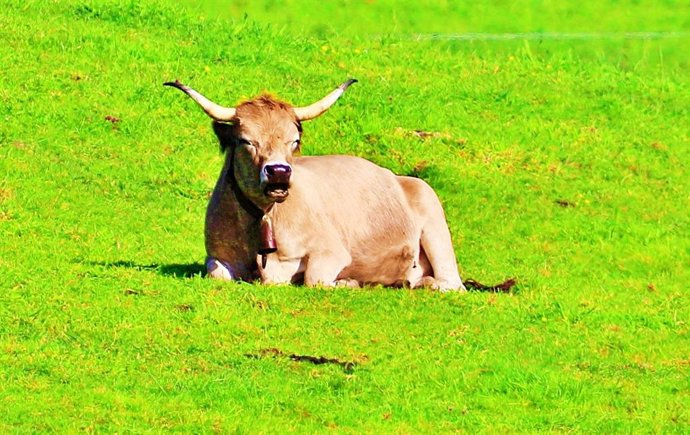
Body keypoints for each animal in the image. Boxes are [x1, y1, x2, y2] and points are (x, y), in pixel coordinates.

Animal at [164, 79, 466, 291]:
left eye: (294, 140)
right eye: (246, 140)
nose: (278, 172)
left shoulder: (332, 251)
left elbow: (314, 278)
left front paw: (348, 282)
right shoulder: (216, 255)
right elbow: (217, 273)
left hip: (433, 218)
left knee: (450, 284)